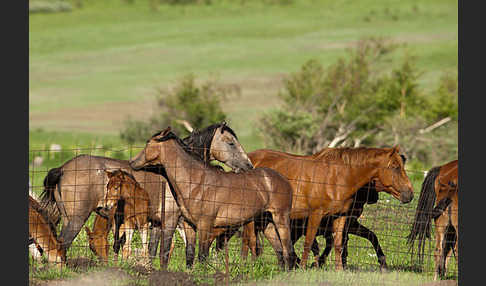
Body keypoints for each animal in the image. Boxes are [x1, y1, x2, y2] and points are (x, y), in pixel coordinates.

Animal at [39, 122, 252, 268]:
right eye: (231, 143)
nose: (248, 166)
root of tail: (62, 169)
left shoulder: (157, 223)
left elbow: (153, 251)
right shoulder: (172, 220)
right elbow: (166, 251)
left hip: (67, 217)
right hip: (77, 218)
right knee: (63, 243)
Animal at [128, 127, 296, 270]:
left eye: (148, 142)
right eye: (231, 142)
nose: (132, 162)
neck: (196, 182)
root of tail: (283, 179)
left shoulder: (204, 225)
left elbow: (201, 256)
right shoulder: (189, 225)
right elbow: (190, 254)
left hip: (280, 218)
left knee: (288, 250)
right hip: (266, 222)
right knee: (280, 251)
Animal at [239, 146, 414, 270]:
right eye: (395, 167)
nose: (410, 194)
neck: (338, 177)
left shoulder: (341, 217)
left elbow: (338, 244)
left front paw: (339, 269)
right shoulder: (316, 215)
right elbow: (310, 242)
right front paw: (304, 267)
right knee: (250, 240)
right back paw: (250, 264)